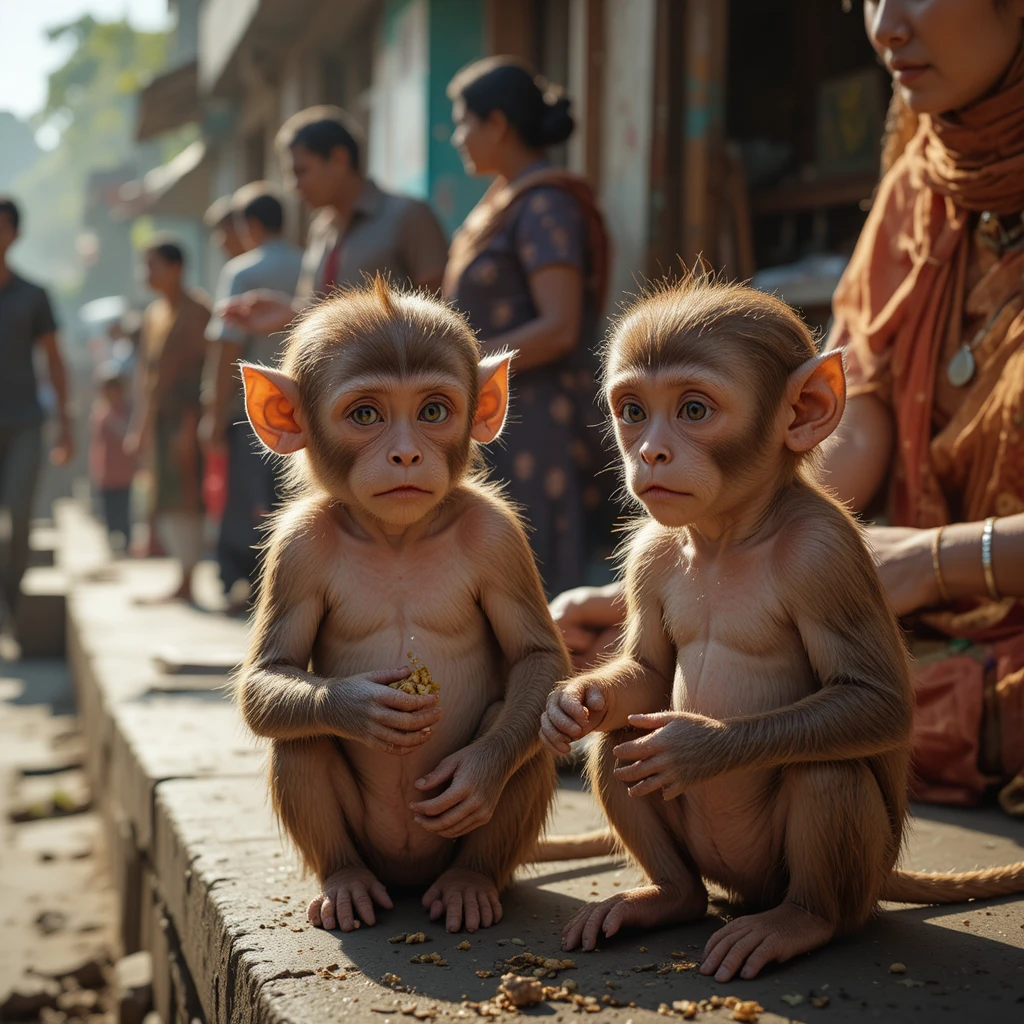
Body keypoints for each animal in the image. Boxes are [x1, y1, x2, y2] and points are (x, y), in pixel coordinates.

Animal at [236, 276, 571, 934]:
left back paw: (470, 883)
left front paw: (476, 775)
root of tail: (410, 879)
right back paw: (345, 882)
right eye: (366, 414)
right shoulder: (297, 546)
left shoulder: (498, 536)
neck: (397, 535)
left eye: (433, 411)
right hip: (374, 849)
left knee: (527, 732)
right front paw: (360, 706)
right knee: (298, 737)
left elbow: (537, 658)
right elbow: (269, 675)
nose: (407, 456)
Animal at [540, 277, 1024, 982]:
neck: (732, 532)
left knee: (826, 771)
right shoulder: (652, 552)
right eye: (633, 411)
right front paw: (577, 701)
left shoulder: (824, 554)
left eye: (693, 410)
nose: (651, 452)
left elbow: (879, 701)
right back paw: (668, 897)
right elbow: (648, 675)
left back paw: (800, 922)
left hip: (833, 873)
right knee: (619, 746)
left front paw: (696, 748)